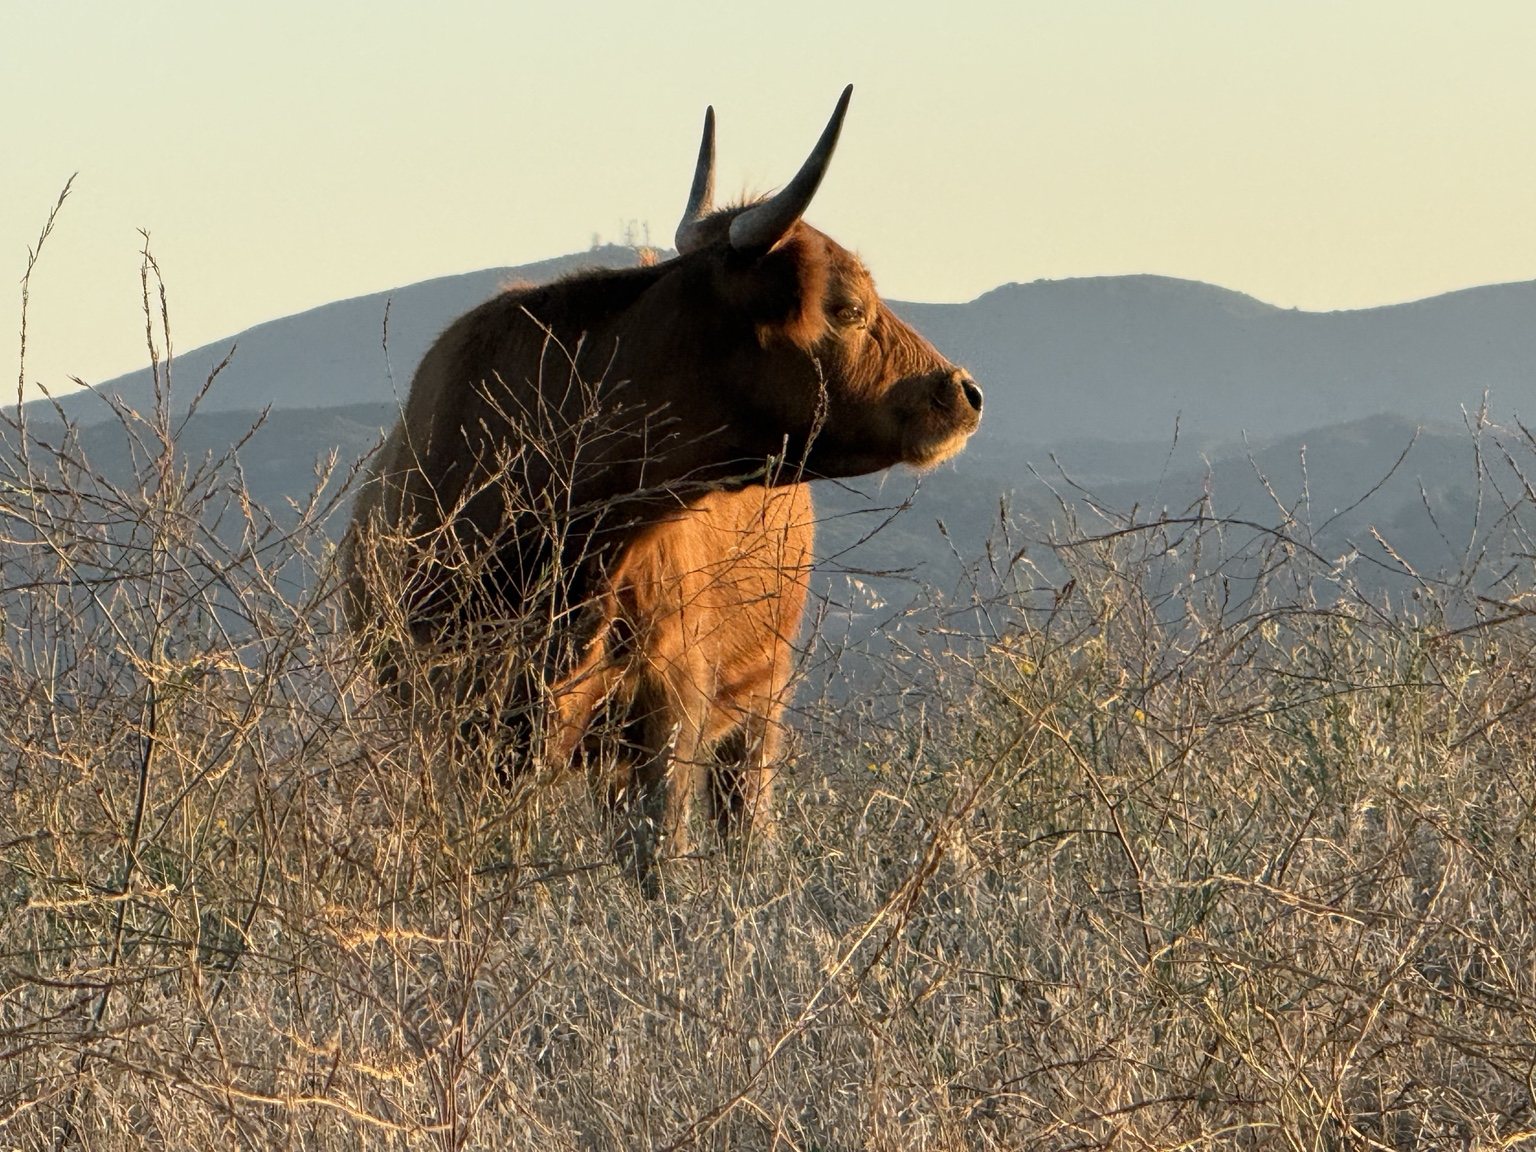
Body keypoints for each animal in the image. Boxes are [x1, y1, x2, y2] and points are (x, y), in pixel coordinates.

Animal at [343, 87, 982, 888]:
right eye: (849, 306)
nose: (962, 391)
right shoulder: (462, 714)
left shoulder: (669, 704)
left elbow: (659, 854)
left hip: (761, 698)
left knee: (745, 820)